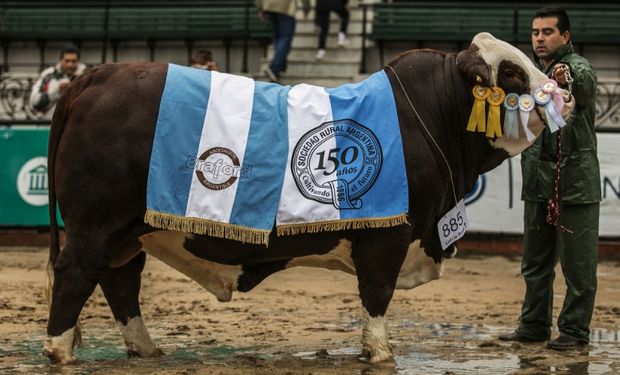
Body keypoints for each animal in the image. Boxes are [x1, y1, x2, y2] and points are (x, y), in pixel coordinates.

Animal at [44, 33, 576, 366]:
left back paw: (146, 349)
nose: (564, 95)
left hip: (128, 233)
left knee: (121, 283)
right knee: (75, 275)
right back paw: (58, 350)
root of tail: (95, 76)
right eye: (512, 74)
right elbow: (376, 295)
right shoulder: (387, 236)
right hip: (96, 226)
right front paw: (379, 352)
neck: (431, 113)